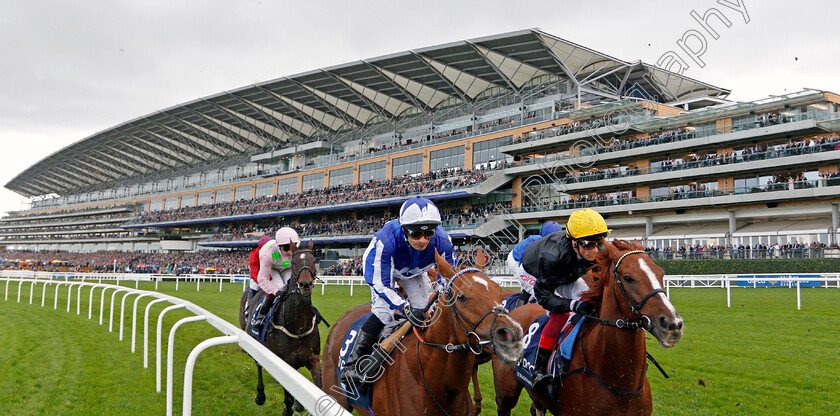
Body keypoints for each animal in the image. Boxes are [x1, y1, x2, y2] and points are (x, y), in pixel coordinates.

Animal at [244, 240, 324, 416]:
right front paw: (288, 409)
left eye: (313, 260)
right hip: (256, 343)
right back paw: (260, 395)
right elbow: (288, 398)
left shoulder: (313, 360)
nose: (305, 284)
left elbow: (319, 387)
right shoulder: (285, 362)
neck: (298, 327)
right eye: (294, 262)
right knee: (259, 365)